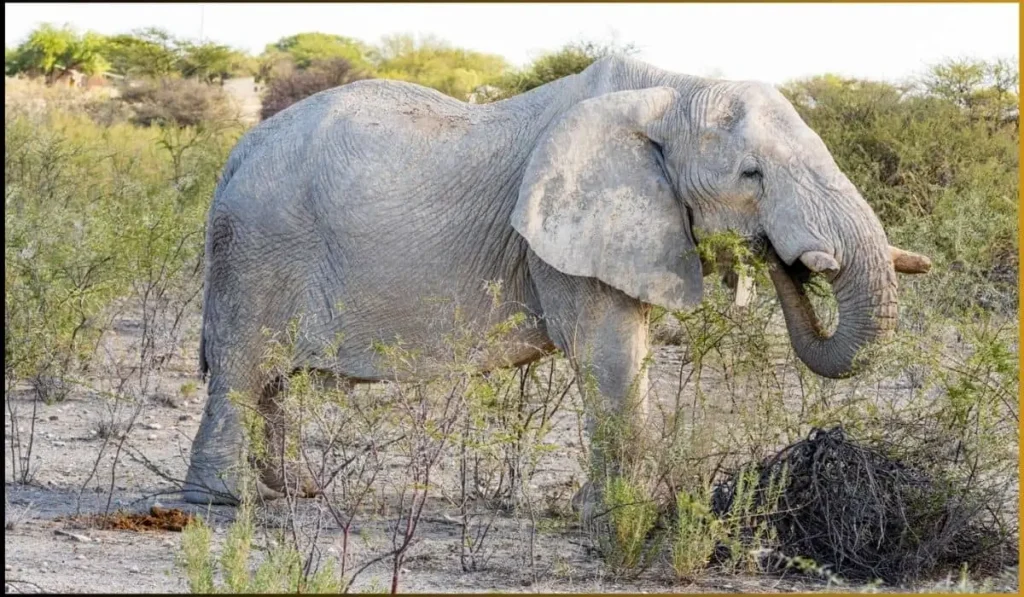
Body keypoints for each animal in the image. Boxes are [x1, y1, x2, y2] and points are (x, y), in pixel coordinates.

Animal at [180, 54, 933, 503]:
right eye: (752, 175)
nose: (787, 257)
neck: (671, 86)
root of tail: (237, 152)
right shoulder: (559, 236)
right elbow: (608, 353)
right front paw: (626, 518)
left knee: (270, 381)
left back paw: (292, 491)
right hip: (260, 245)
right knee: (245, 369)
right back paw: (224, 503)